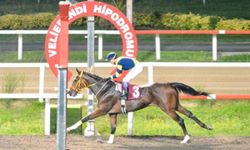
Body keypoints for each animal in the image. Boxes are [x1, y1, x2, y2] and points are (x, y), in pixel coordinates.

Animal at [67, 68, 212, 144]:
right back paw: (207, 127)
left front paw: (69, 128)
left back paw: (186, 138)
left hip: (168, 109)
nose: (69, 92)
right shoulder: (112, 113)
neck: (106, 89)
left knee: (181, 120)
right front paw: (110, 141)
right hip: (175, 105)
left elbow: (85, 117)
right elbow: (113, 127)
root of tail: (169, 84)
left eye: (75, 79)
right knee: (190, 114)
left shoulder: (102, 109)